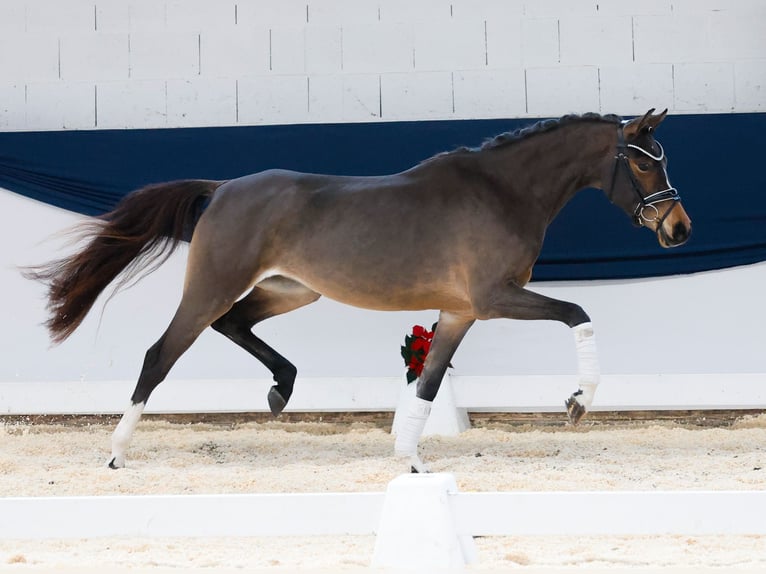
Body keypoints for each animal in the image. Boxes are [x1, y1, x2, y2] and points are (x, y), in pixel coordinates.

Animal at [25, 109, 696, 472]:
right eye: (644, 162)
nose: (679, 229)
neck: (502, 191)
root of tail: (222, 189)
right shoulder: (492, 298)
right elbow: (578, 312)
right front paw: (579, 401)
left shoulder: (459, 312)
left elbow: (428, 385)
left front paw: (411, 459)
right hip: (213, 287)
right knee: (160, 354)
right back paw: (117, 452)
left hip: (293, 290)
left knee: (234, 324)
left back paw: (281, 389)